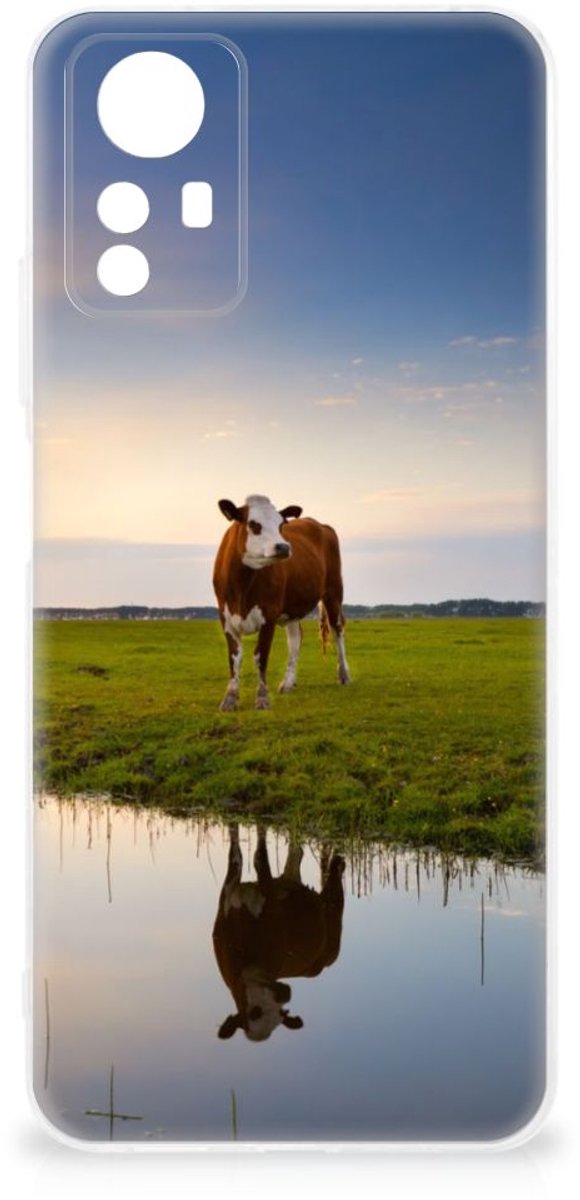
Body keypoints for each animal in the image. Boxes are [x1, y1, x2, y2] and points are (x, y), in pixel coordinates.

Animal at [212, 494, 350, 711]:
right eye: (253, 524)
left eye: (280, 525)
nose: (284, 547)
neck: (242, 586)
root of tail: (320, 524)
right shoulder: (225, 617)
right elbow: (235, 657)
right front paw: (230, 698)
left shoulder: (269, 615)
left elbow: (260, 656)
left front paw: (262, 698)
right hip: (292, 607)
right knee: (295, 639)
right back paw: (288, 682)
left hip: (334, 592)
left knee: (337, 630)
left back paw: (344, 674)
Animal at [212, 824, 345, 1042]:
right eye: (254, 1012)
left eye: (281, 1014)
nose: (285, 994)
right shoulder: (228, 893)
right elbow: (236, 853)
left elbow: (259, 857)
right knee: (296, 852)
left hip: (333, 919)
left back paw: (338, 862)